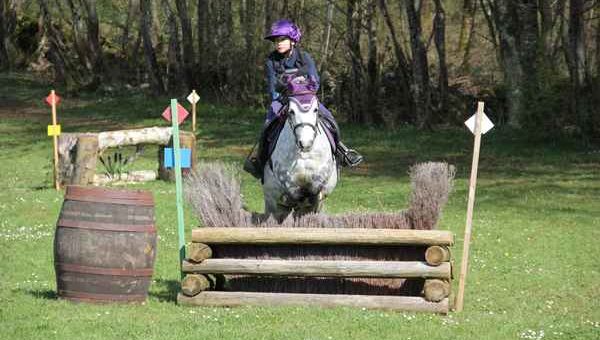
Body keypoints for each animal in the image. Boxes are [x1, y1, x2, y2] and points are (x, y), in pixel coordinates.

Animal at [262, 75, 338, 222]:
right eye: (291, 111)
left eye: (315, 109)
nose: (306, 143)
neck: (304, 154)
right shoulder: (286, 180)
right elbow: (292, 192)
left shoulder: (322, 177)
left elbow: (316, 191)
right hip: (271, 201)